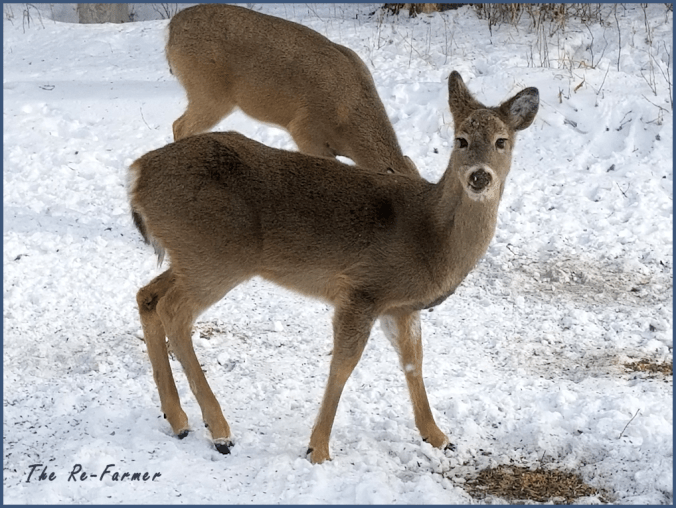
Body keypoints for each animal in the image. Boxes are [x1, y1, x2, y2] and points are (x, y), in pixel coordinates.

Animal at [129, 71, 539, 464]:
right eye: (461, 140)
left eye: (502, 141)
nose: (479, 177)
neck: (430, 237)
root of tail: (137, 175)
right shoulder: (362, 289)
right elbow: (343, 365)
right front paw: (319, 449)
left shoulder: (402, 307)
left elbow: (414, 364)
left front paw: (438, 437)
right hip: (215, 258)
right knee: (174, 312)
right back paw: (220, 432)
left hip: (190, 258)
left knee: (147, 296)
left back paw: (178, 420)